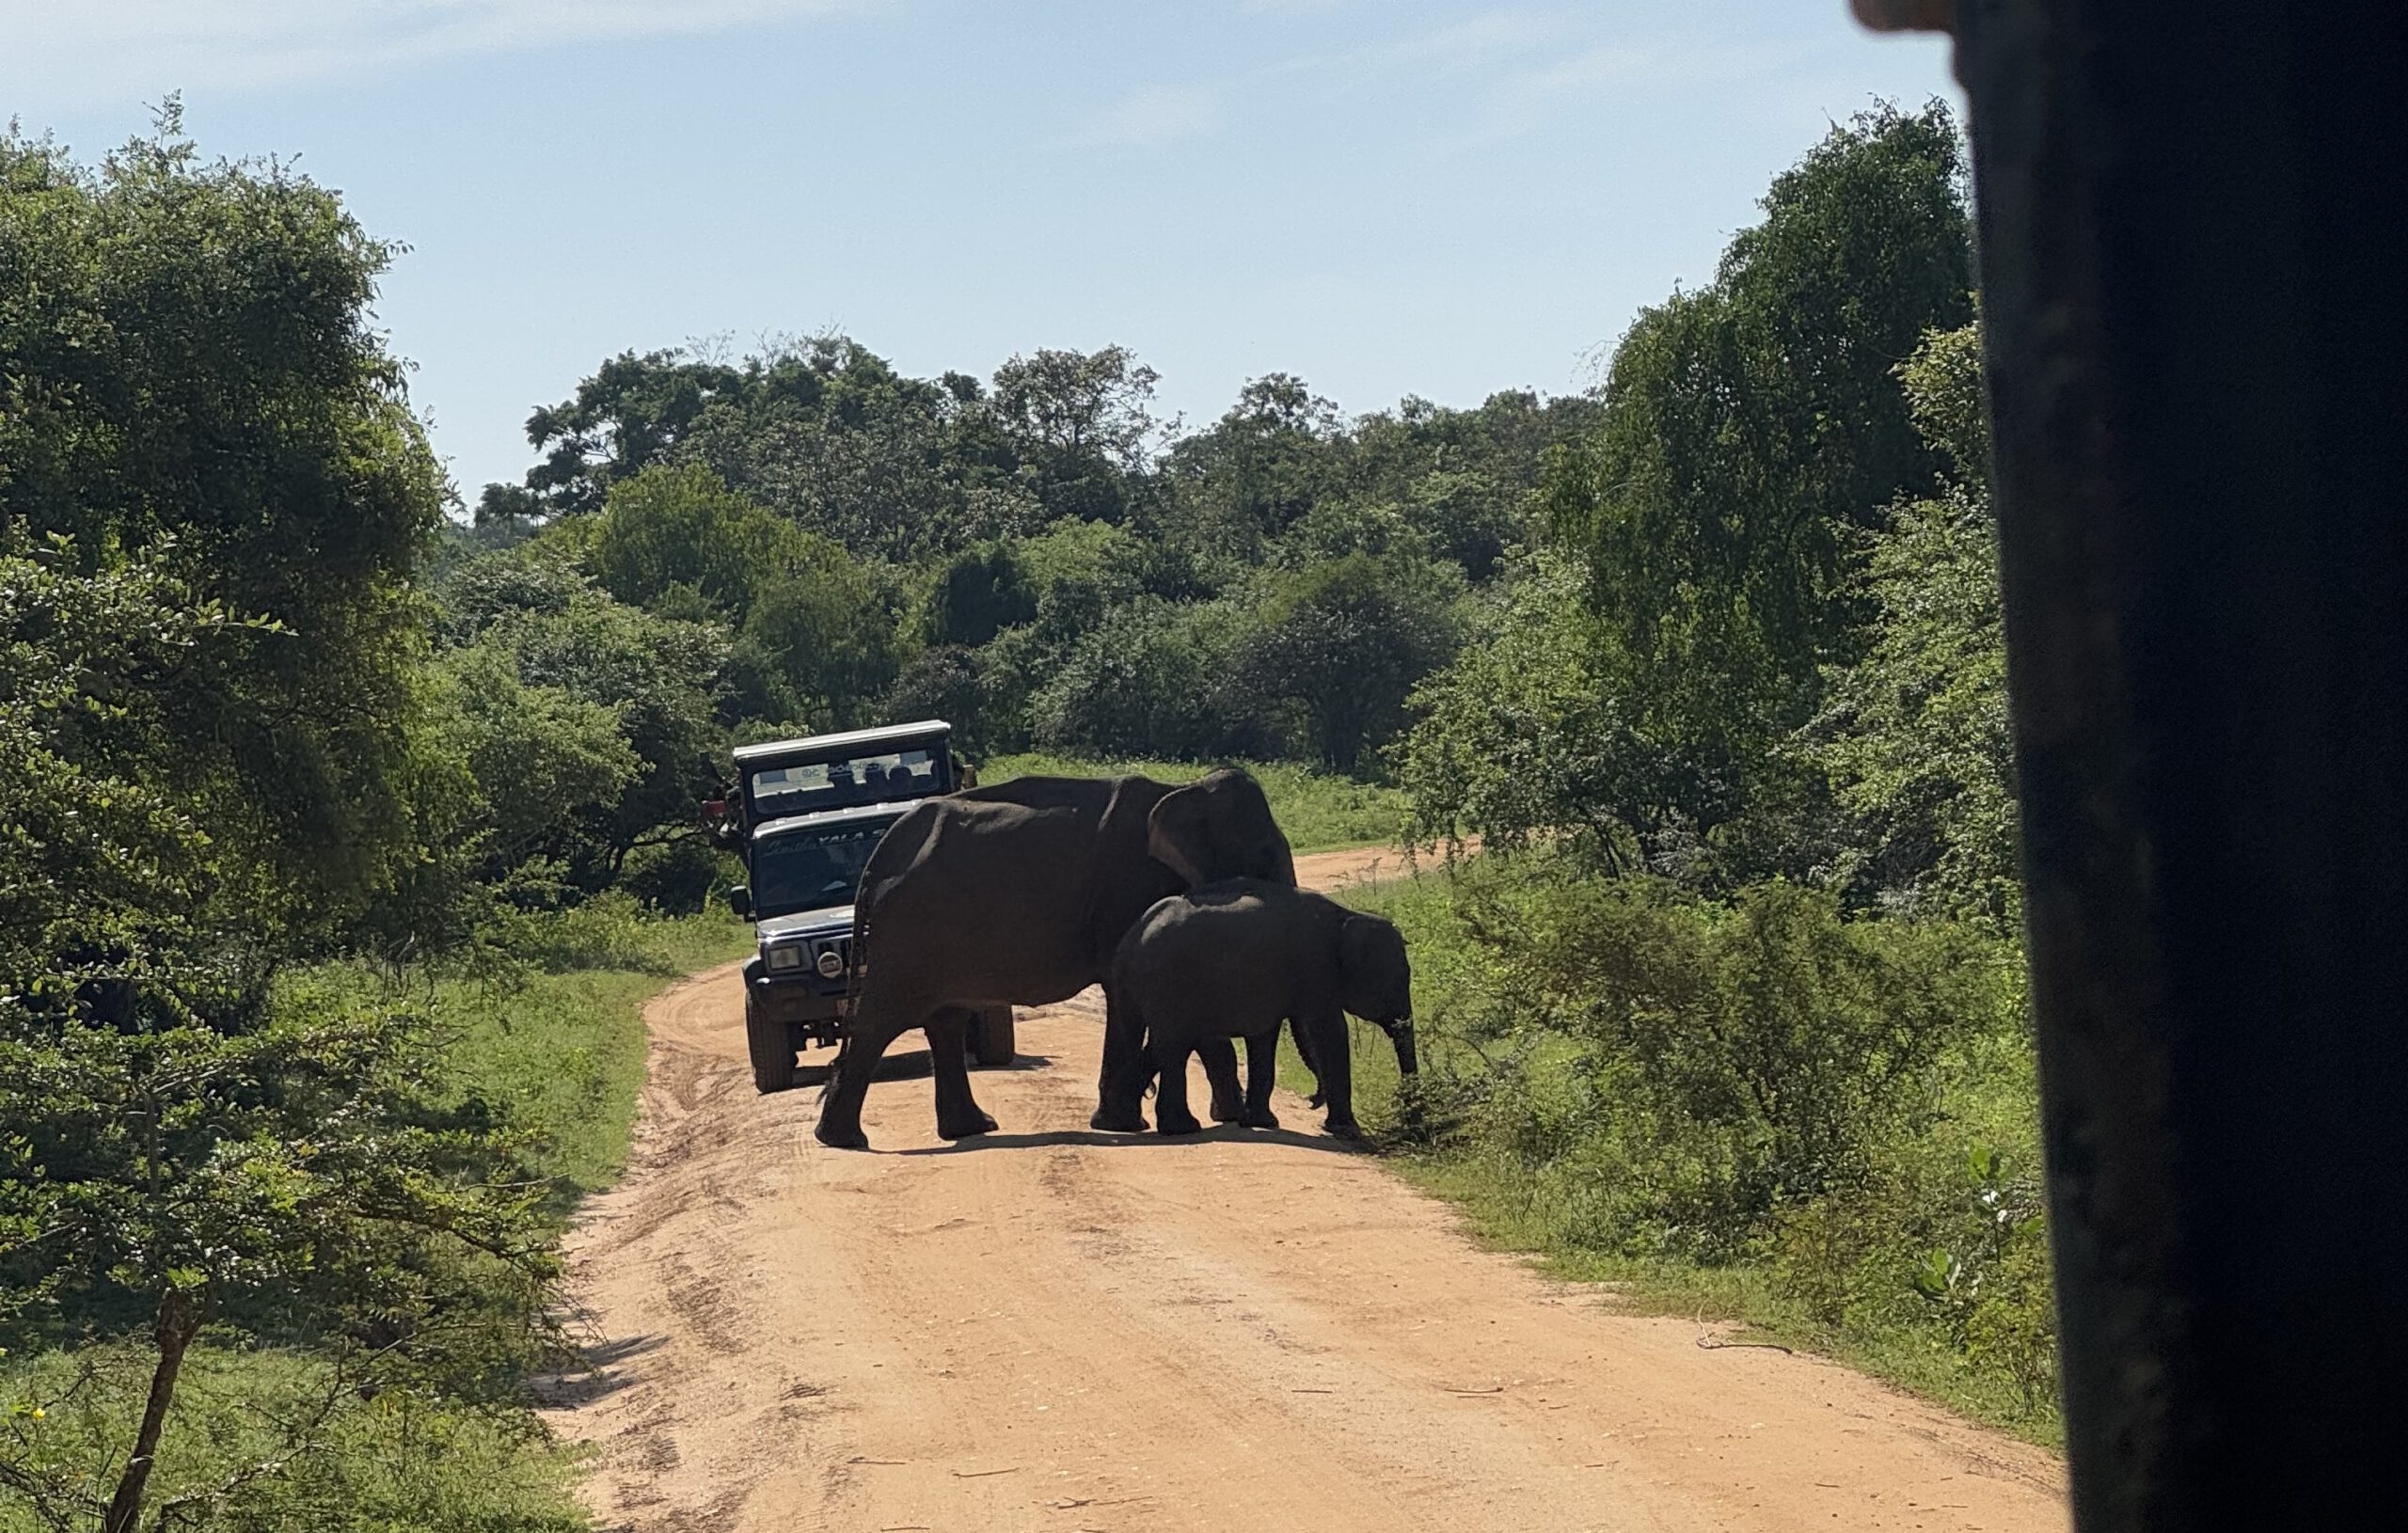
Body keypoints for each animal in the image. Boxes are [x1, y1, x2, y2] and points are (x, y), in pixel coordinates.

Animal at [814, 769, 1300, 1140]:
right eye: (1265, 856)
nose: (1258, 1118)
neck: (1183, 789)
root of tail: (879, 856)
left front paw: (1221, 1117)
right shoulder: (1125, 892)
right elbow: (1131, 990)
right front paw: (1124, 1125)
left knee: (944, 1019)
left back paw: (969, 1129)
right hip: (907, 931)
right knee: (882, 1019)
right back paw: (843, 1140)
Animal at [1093, 871, 1406, 1135]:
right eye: (1395, 985)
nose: (1312, 1100)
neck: (1349, 917)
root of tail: (1135, 936)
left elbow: (1265, 1035)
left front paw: (1262, 1123)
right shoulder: (1316, 967)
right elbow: (1330, 1031)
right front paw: (1348, 1132)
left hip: (1133, 982)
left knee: (1155, 1037)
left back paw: (1119, 1123)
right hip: (1169, 980)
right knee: (1173, 1043)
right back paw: (1179, 1129)